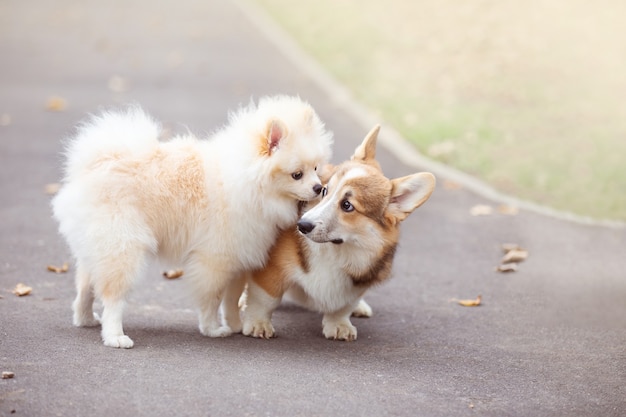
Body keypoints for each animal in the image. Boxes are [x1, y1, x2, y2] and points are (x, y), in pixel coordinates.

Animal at [52, 96, 332, 346]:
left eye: (316, 169)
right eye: (297, 175)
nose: (319, 188)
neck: (248, 181)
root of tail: (94, 166)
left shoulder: (239, 257)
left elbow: (231, 299)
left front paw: (236, 325)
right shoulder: (215, 259)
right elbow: (212, 299)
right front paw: (213, 329)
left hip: (97, 248)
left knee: (85, 287)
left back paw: (86, 319)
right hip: (123, 247)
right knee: (113, 297)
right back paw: (115, 336)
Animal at [240, 125, 434, 340]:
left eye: (347, 205)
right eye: (325, 191)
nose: (301, 225)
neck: (336, 252)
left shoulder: (357, 283)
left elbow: (343, 307)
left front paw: (339, 325)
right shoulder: (273, 268)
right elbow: (266, 299)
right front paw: (258, 323)